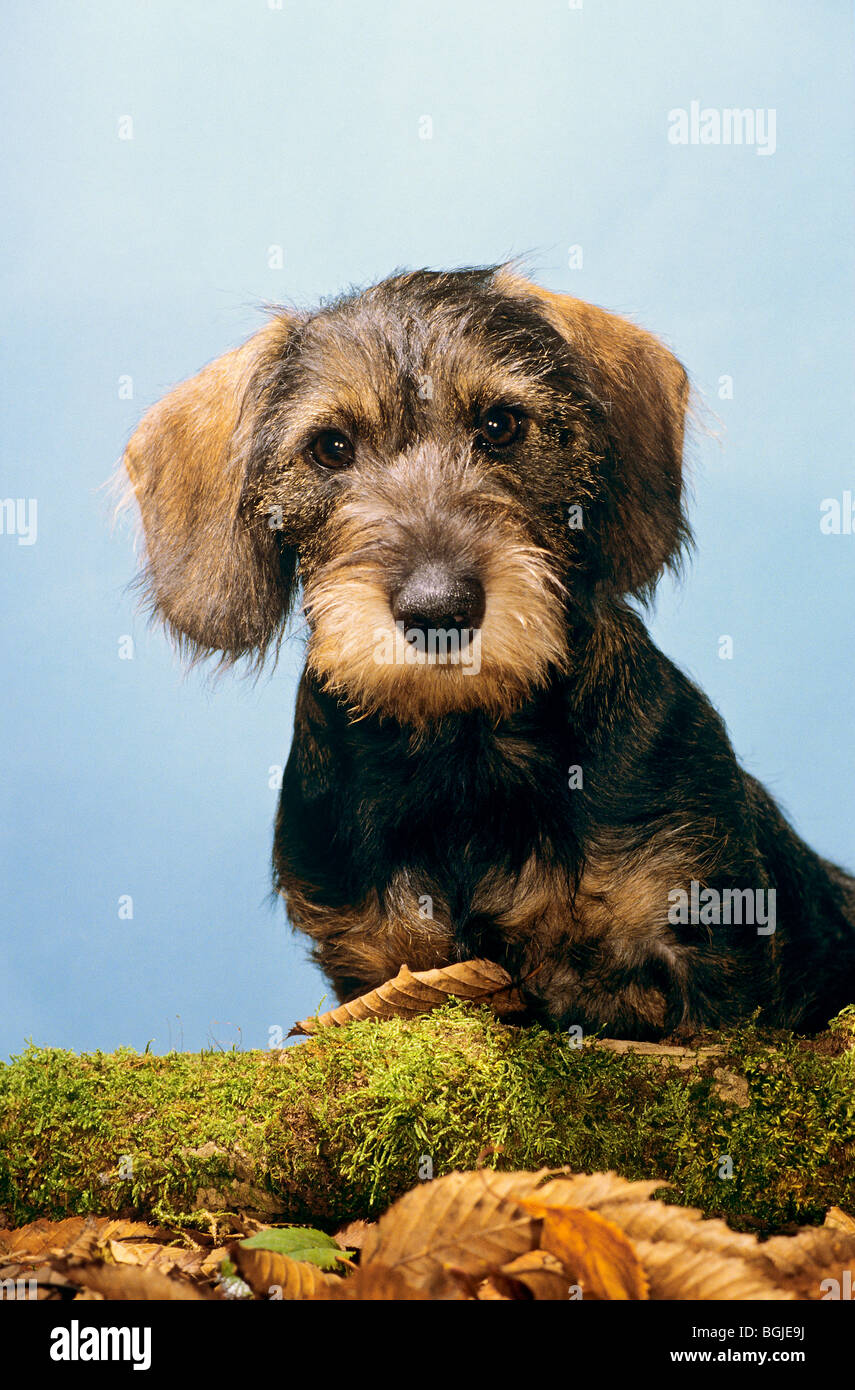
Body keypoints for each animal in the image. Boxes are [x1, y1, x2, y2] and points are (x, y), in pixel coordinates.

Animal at [120, 265, 855, 1039]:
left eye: (500, 425)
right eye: (330, 447)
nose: (437, 609)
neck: (467, 752)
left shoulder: (702, 936)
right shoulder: (374, 961)